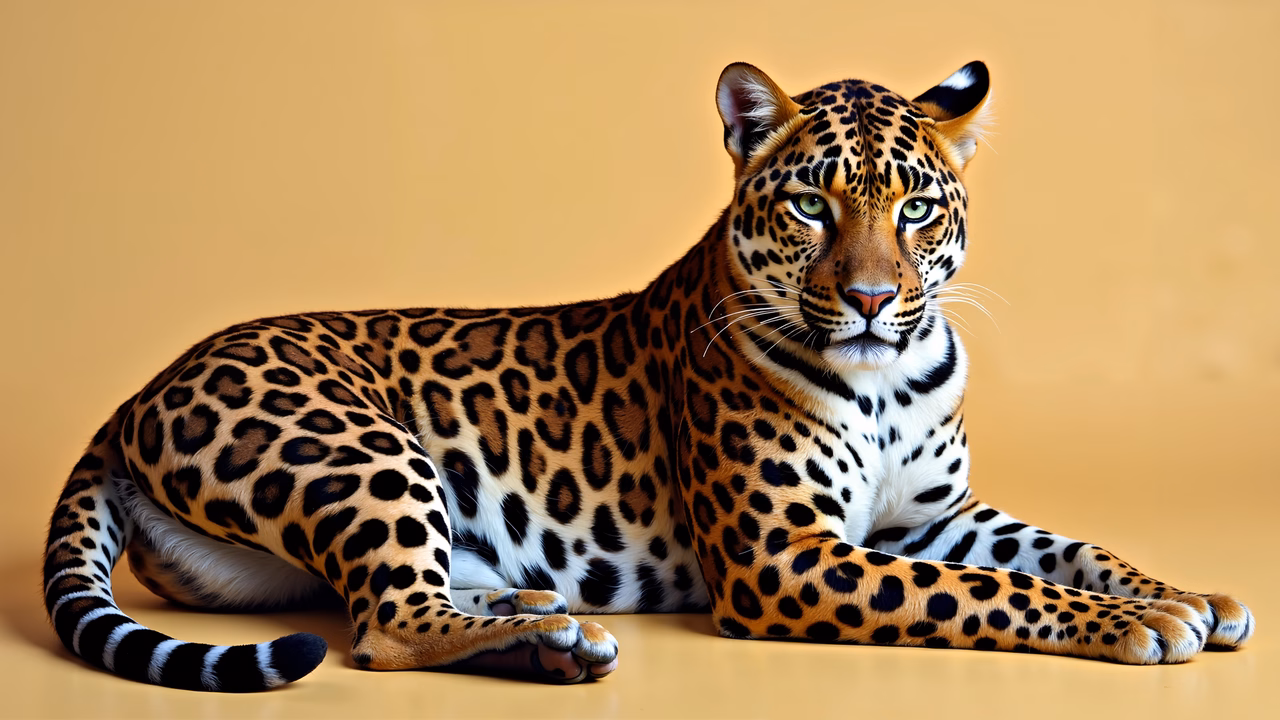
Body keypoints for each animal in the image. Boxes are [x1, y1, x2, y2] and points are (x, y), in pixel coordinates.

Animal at [42, 60, 1254, 692]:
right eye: (809, 204)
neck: (889, 378)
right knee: (386, 625)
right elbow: (1000, 592)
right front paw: (1137, 625)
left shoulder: (927, 520)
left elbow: (1062, 549)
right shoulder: (783, 555)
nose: (871, 298)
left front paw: (1183, 593)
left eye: (914, 207)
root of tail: (135, 393)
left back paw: (534, 603)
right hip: (359, 448)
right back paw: (556, 644)